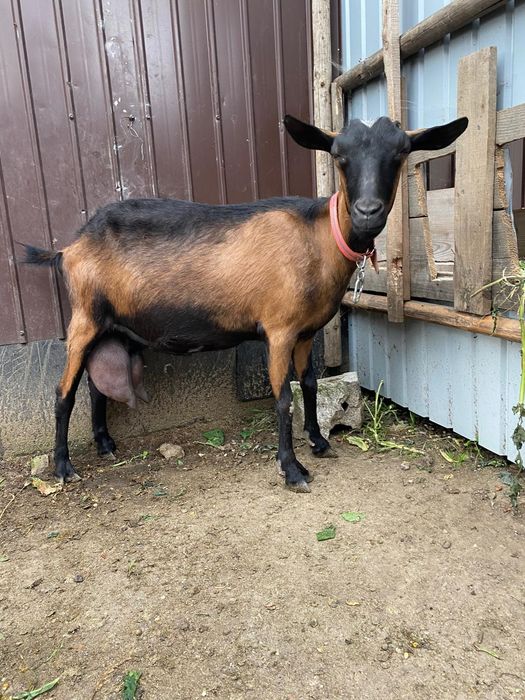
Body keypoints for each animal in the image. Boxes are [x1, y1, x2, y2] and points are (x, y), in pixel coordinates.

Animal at [23, 114, 467, 492]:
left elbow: (309, 384)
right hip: (83, 318)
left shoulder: (306, 332)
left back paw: (105, 444)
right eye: (340, 157)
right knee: (64, 393)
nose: (367, 212)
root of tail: (69, 248)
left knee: (96, 389)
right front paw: (292, 469)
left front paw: (319, 442)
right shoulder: (278, 329)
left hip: (108, 326)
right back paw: (63, 467)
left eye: (399, 154)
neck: (317, 238)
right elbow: (284, 398)